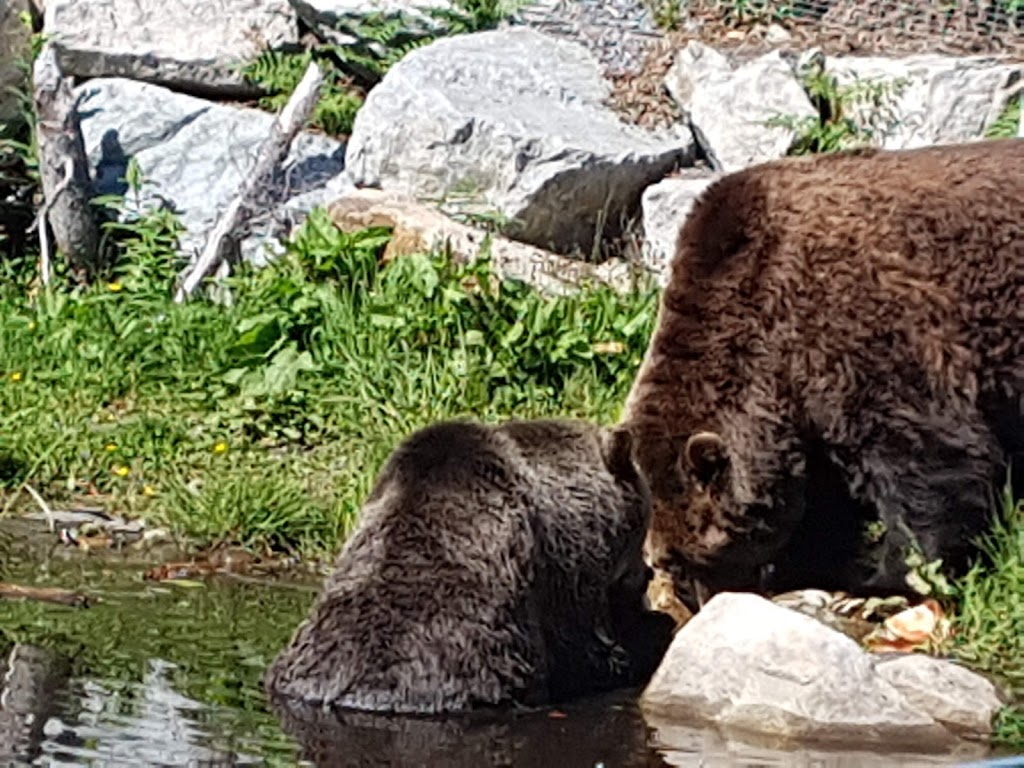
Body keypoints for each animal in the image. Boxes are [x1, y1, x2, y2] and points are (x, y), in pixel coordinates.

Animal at [622, 137, 1024, 606]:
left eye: (681, 558)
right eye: (666, 562)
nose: (706, 600)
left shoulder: (866, 328)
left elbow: (931, 460)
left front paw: (881, 578)